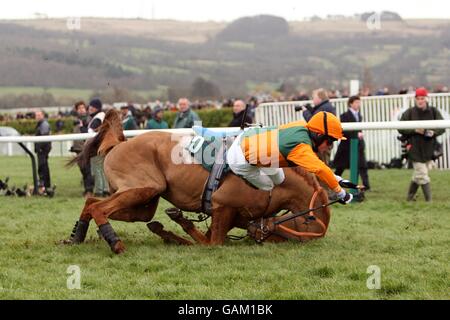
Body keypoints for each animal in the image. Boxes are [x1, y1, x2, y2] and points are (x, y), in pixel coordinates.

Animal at [67, 110, 332, 255]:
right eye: (304, 224)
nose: (262, 232)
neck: (275, 188)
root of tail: (119, 144)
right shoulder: (222, 204)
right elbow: (210, 243)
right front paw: (177, 224)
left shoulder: (235, 217)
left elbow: (204, 240)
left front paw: (170, 228)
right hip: (144, 188)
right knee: (99, 207)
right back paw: (115, 243)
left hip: (143, 200)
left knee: (93, 203)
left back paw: (75, 237)